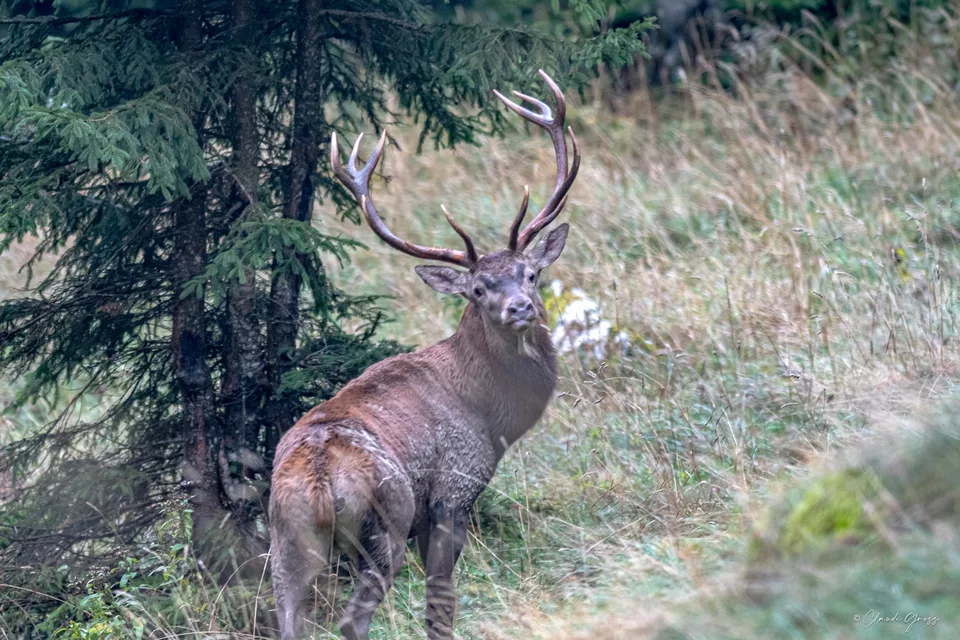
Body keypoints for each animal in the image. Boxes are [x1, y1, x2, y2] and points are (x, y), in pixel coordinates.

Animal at [269, 70, 580, 640]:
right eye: (477, 290)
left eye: (530, 273)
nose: (520, 308)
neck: (491, 417)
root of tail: (320, 485)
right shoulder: (452, 494)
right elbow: (441, 605)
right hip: (384, 523)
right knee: (352, 620)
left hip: (286, 540)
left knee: (290, 622)